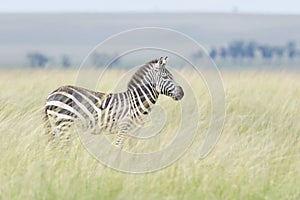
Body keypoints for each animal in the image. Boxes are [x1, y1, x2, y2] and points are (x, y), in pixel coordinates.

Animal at [44, 57, 184, 148]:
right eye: (165, 77)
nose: (182, 93)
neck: (137, 101)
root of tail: (52, 94)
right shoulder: (124, 127)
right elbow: (118, 148)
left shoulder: (135, 130)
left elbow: (132, 150)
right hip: (64, 122)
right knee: (63, 147)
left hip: (56, 125)